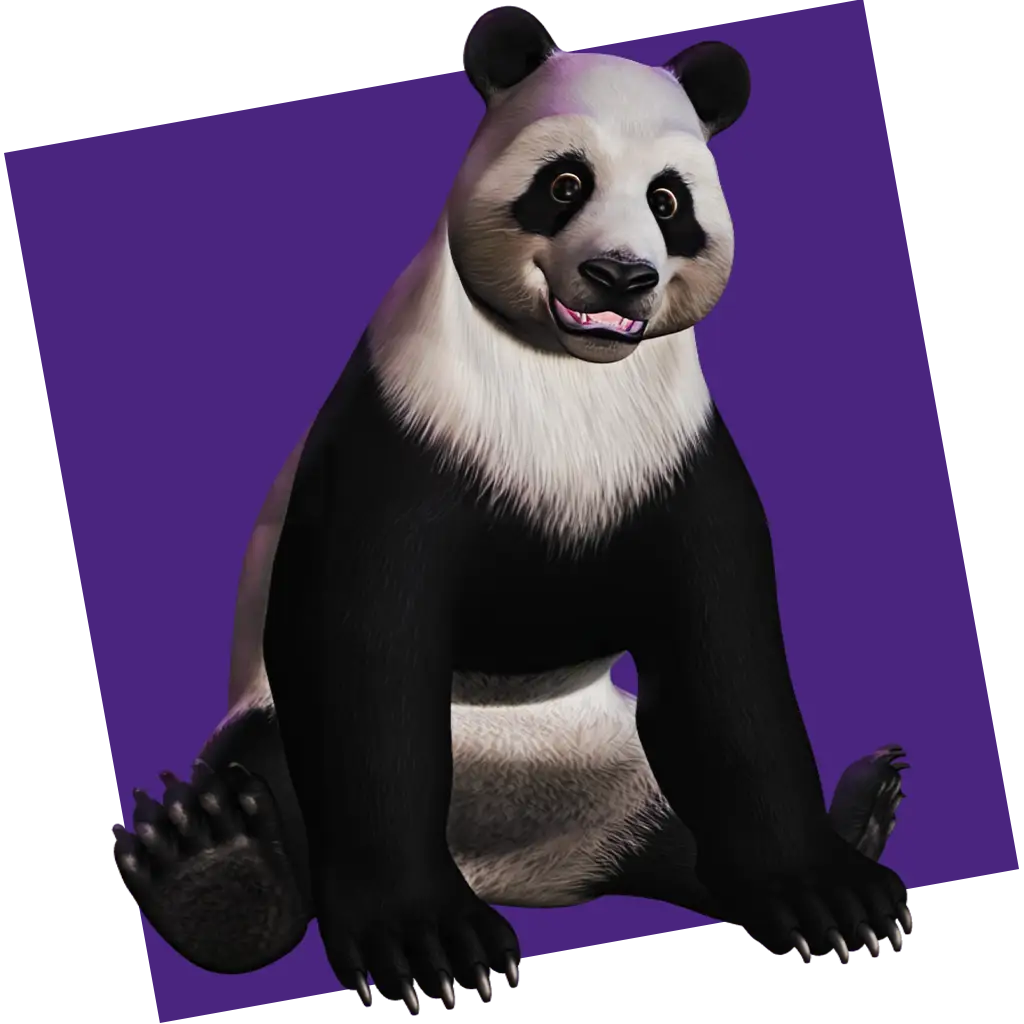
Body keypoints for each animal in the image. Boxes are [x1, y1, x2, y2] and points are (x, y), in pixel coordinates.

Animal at [111, 5, 915, 1014]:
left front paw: (833, 899)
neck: (567, 375)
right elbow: (359, 654)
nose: (620, 275)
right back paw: (213, 867)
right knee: (270, 776)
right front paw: (428, 944)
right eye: (565, 183)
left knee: (680, 826)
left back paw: (864, 807)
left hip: (616, 765)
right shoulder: (402, 441)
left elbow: (727, 669)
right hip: (264, 726)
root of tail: (525, 868)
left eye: (667, 200)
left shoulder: (677, 463)